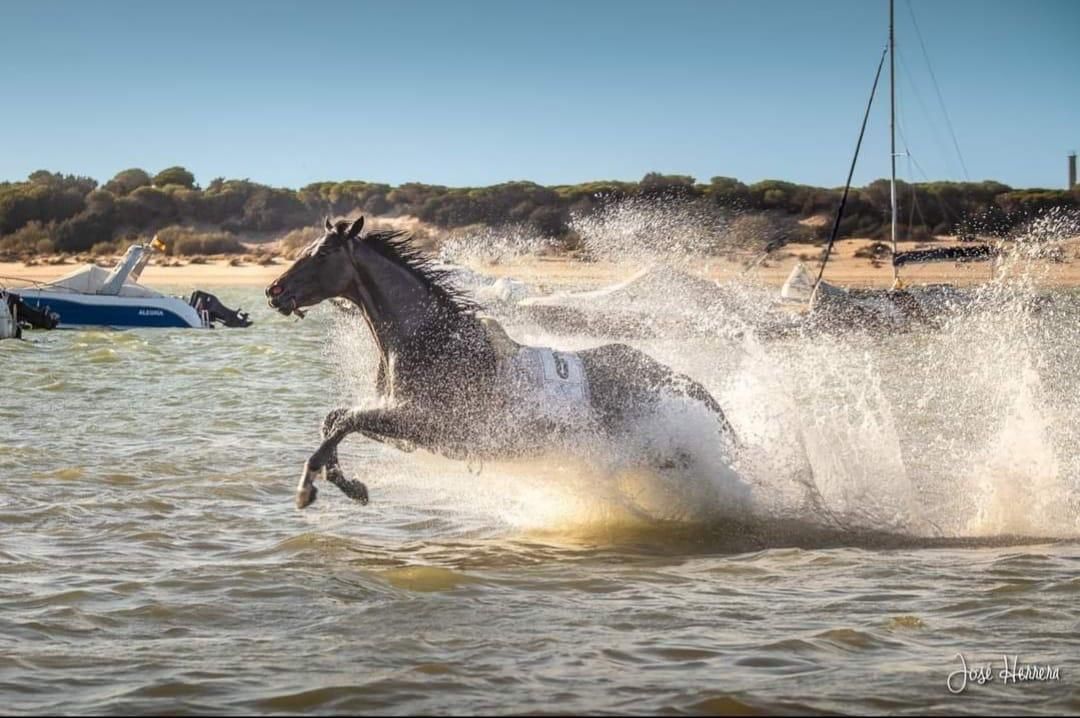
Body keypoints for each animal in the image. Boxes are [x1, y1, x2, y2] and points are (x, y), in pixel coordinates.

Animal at [266, 216, 736, 508]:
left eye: (321, 255)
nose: (273, 291)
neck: (428, 340)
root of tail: (690, 386)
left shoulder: (427, 423)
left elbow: (344, 423)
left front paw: (308, 490)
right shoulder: (399, 419)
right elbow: (335, 420)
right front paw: (352, 486)